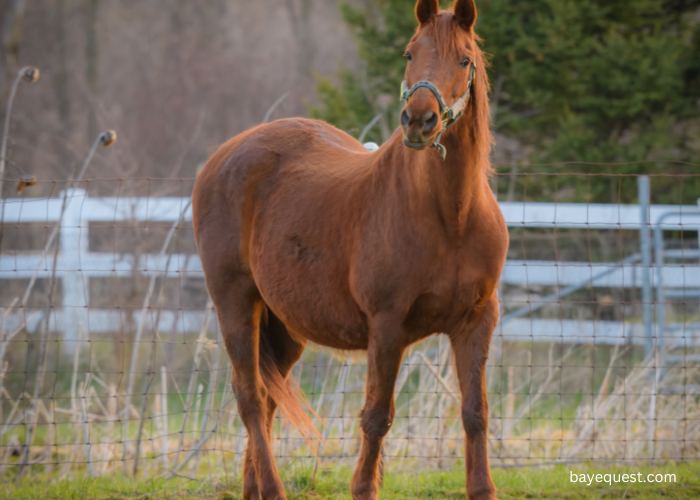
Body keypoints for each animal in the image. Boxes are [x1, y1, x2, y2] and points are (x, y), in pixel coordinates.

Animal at [193, 0, 504, 500]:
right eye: (409, 53)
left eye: (464, 60)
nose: (419, 121)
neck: (451, 217)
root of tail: (225, 154)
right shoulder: (387, 326)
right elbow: (376, 418)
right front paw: (364, 485)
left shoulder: (477, 321)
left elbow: (476, 413)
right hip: (235, 304)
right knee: (249, 398)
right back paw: (274, 488)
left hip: (284, 324)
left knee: (266, 398)